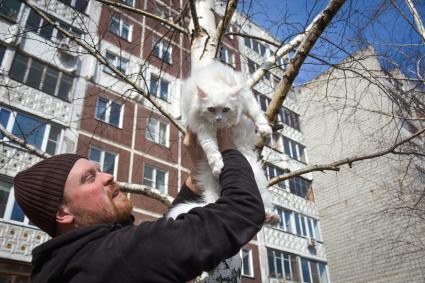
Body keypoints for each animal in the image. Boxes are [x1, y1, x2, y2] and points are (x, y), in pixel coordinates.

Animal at [167, 61, 274, 219]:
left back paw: (272, 216)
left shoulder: (246, 98)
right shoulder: (204, 130)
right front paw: (217, 166)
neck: (215, 81)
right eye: (211, 109)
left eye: (226, 110)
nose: (218, 119)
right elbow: (211, 149)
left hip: (255, 175)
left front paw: (265, 130)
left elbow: (256, 113)